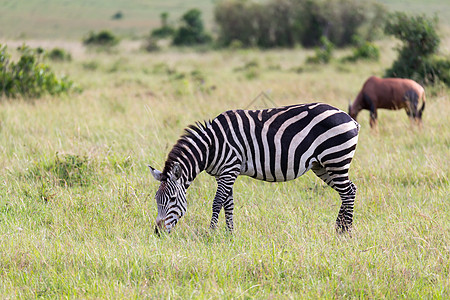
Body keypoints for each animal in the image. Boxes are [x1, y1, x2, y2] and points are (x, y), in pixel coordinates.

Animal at [149, 103, 360, 234]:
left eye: (173, 199)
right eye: (156, 200)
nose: (158, 232)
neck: (211, 146)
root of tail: (349, 118)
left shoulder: (229, 169)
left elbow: (217, 202)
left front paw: (211, 232)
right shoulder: (224, 173)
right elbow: (228, 204)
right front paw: (229, 234)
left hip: (336, 158)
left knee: (348, 192)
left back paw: (346, 232)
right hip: (323, 165)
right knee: (349, 190)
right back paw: (339, 228)